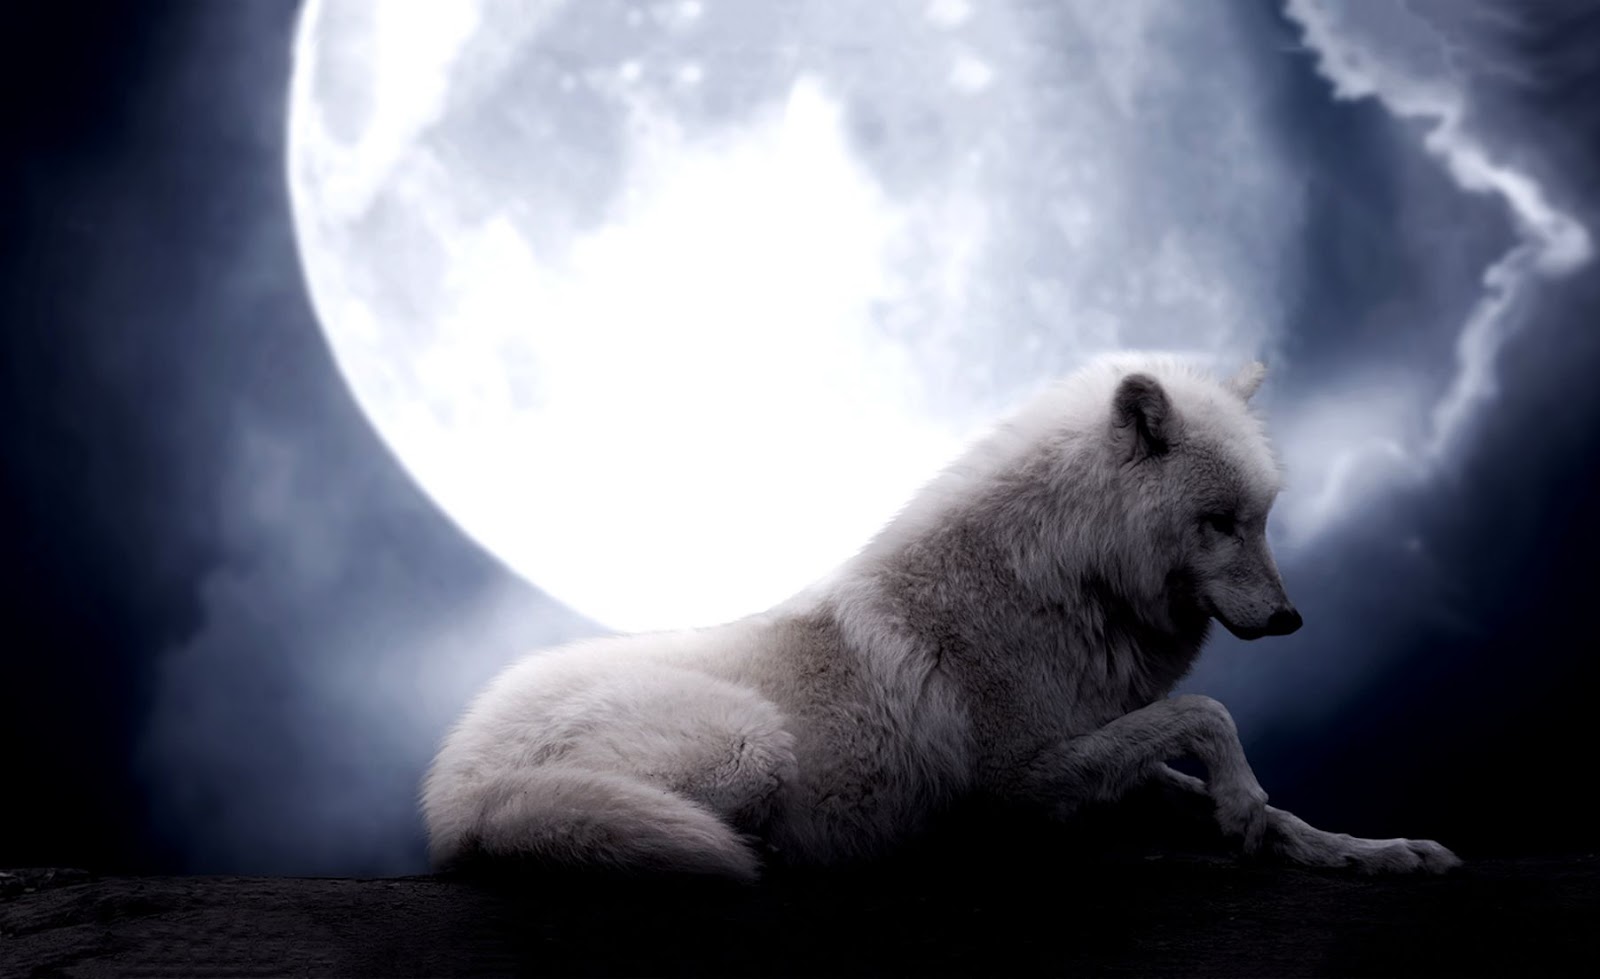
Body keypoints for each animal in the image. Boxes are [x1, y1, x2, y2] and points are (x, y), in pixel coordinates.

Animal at [421, 354, 1460, 880]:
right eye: (1218, 522)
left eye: (1265, 517)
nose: (1290, 619)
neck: (1063, 582)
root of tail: (454, 785)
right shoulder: (1024, 781)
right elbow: (1209, 716)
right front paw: (1246, 804)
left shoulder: (1094, 749)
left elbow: (1232, 785)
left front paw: (1363, 849)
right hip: (752, 744)